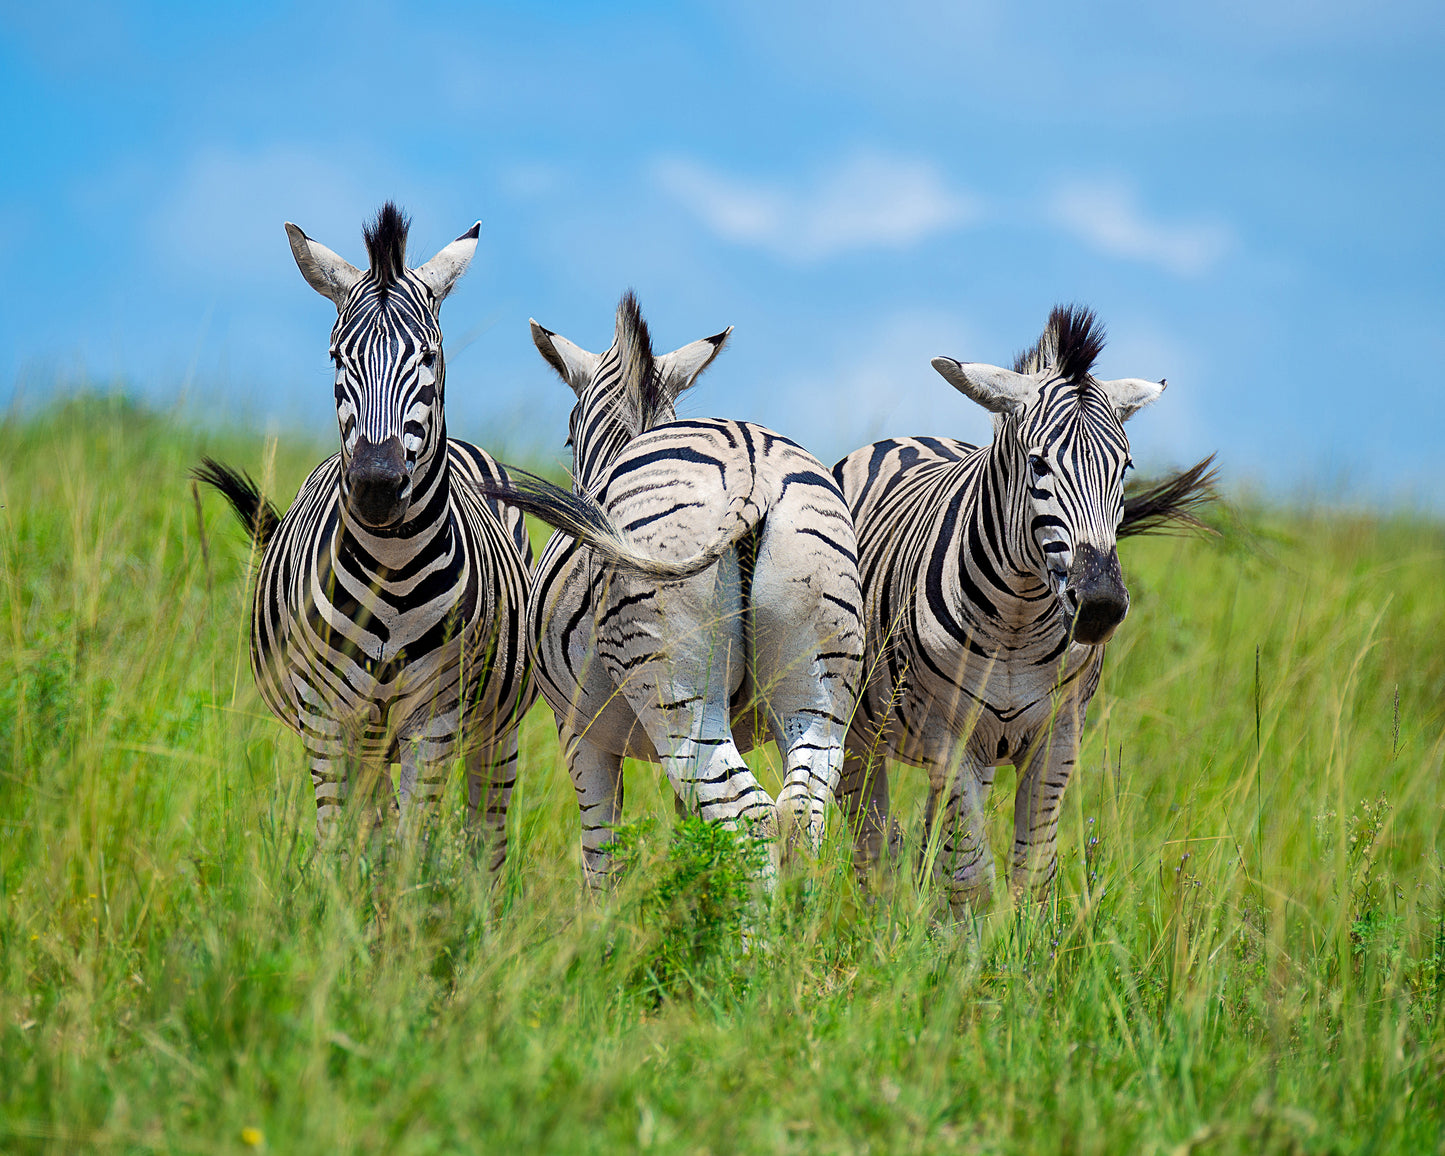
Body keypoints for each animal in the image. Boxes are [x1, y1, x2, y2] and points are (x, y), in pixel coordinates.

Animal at [195, 203, 535, 866]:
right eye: (337, 358)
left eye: (429, 355)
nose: (377, 484)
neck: (391, 568)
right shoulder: (326, 719)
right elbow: (340, 846)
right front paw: (339, 899)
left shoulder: (435, 720)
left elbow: (411, 850)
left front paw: (408, 898)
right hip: (369, 736)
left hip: (491, 728)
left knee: (485, 836)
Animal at [478, 292, 865, 883]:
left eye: (567, 434)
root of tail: (751, 463)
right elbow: (694, 838)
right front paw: (695, 899)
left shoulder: (579, 734)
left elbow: (601, 852)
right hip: (818, 688)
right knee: (800, 815)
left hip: (677, 689)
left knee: (750, 817)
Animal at [831, 305, 1214, 914]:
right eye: (1037, 464)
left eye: (1126, 468)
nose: (1100, 606)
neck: (1017, 621)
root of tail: (908, 439)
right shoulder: (948, 733)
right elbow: (970, 880)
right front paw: (965, 944)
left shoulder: (1058, 735)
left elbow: (1031, 874)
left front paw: (1020, 944)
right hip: (858, 734)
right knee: (875, 853)